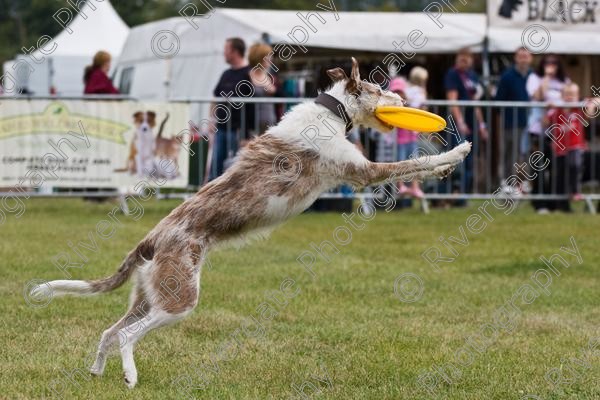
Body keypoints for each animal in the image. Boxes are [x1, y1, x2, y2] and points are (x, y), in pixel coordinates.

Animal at [32, 58, 472, 388]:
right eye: (379, 91)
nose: (402, 96)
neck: (332, 113)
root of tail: (151, 239)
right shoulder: (364, 172)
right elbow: (415, 163)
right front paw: (456, 153)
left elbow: (418, 168)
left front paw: (447, 164)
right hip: (179, 300)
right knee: (125, 335)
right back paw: (129, 376)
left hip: (148, 296)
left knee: (108, 331)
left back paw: (96, 372)